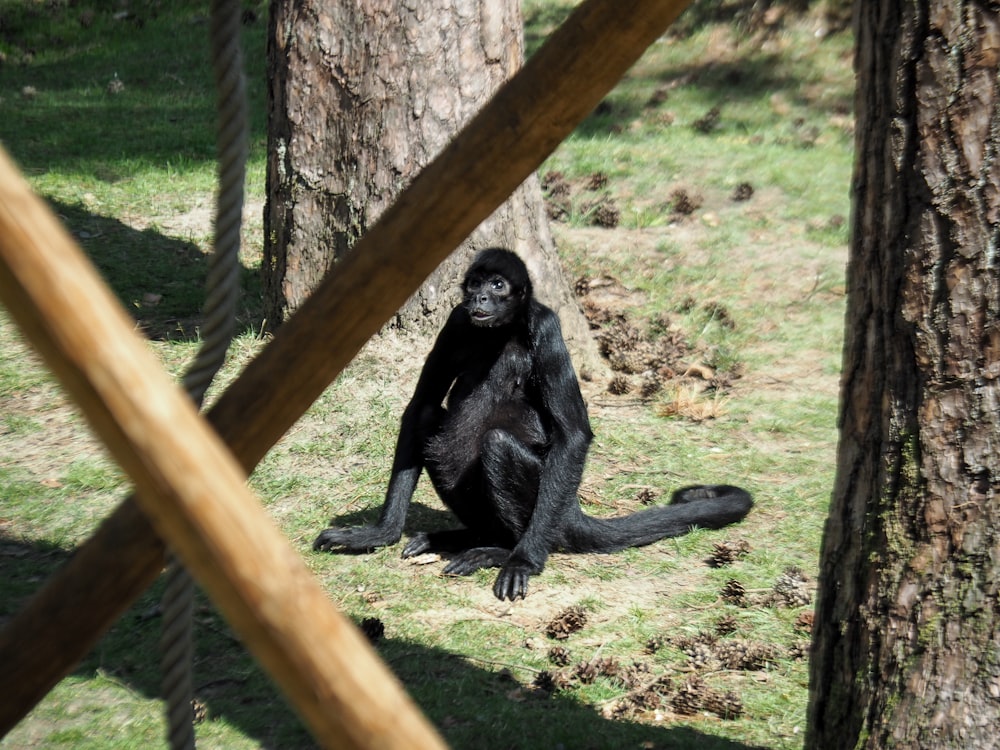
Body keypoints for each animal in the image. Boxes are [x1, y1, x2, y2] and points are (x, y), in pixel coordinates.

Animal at [312, 250, 752, 604]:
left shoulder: (546, 326)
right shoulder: (457, 321)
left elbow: (573, 434)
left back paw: (502, 550)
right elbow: (419, 405)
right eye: (474, 284)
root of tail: (570, 511)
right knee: (430, 419)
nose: (480, 298)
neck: (501, 332)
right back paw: (466, 538)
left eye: (498, 285)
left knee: (496, 443)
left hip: (548, 499)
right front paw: (378, 534)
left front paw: (523, 562)